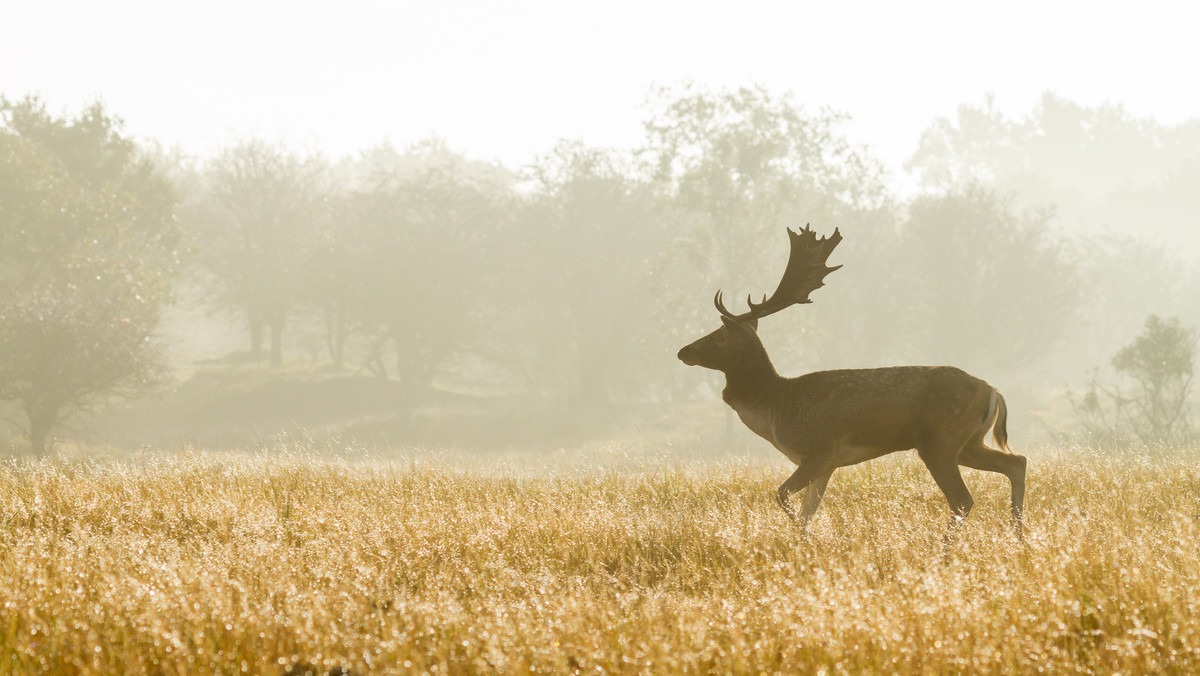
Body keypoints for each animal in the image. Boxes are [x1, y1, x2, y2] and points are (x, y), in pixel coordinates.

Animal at [681, 224, 1027, 537]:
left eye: (719, 337)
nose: (683, 351)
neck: (777, 406)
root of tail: (993, 391)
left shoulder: (819, 451)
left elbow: (782, 495)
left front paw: (806, 539)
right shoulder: (826, 464)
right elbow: (807, 512)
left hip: (940, 441)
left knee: (963, 500)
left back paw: (947, 551)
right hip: (969, 443)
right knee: (1017, 462)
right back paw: (1019, 538)